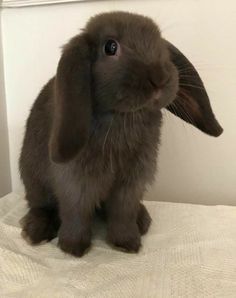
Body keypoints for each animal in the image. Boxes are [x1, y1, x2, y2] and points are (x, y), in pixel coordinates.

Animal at [18, 10, 223, 255]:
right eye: (110, 47)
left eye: (159, 43)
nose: (160, 77)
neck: (124, 117)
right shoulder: (76, 182)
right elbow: (76, 212)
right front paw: (73, 247)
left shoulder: (131, 183)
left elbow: (123, 212)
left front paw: (127, 243)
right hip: (34, 183)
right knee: (41, 206)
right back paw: (35, 232)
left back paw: (142, 220)